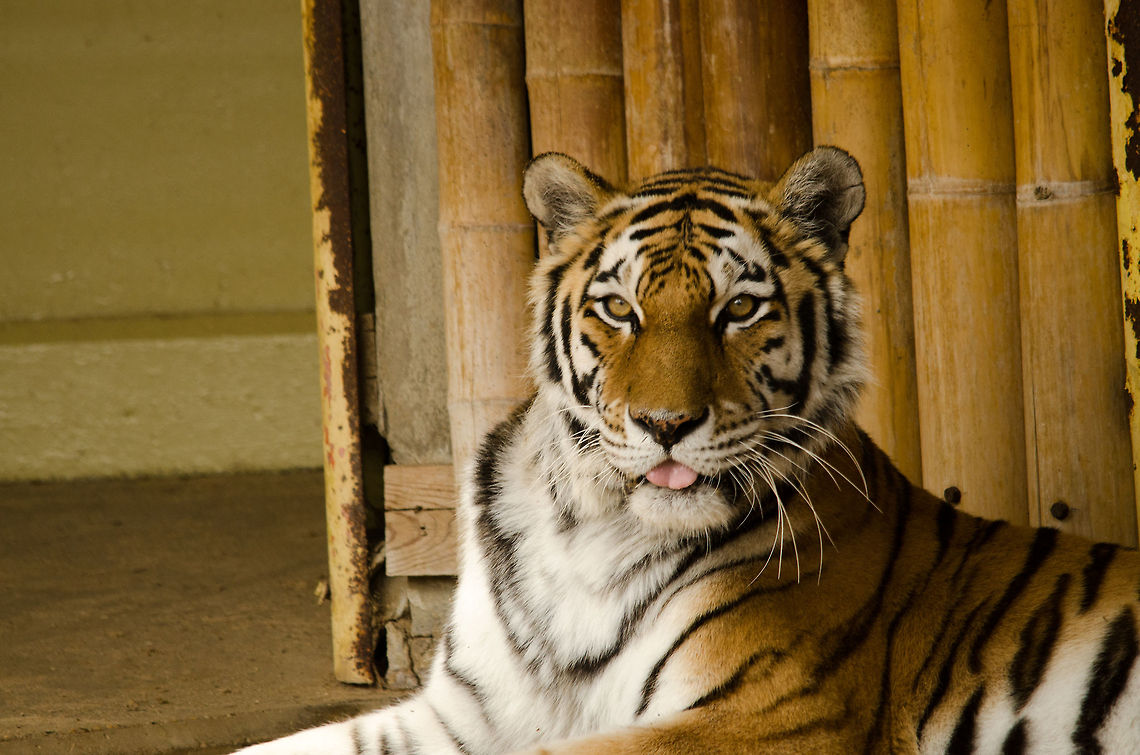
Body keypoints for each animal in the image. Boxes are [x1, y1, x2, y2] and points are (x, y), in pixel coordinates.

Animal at [238, 146, 1140, 754]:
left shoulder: (774, 714)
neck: (589, 526)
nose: (664, 423)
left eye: (738, 309)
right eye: (619, 308)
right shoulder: (463, 712)